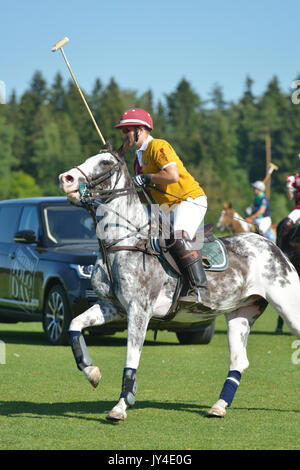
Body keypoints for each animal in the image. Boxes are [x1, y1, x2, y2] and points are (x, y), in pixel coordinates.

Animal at [58, 152, 300, 420]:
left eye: (105, 162)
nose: (65, 178)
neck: (123, 242)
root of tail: (273, 245)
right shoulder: (111, 307)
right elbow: (74, 325)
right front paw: (91, 371)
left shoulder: (139, 310)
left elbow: (131, 357)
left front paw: (121, 406)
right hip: (239, 314)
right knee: (239, 361)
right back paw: (218, 406)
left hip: (289, 306)